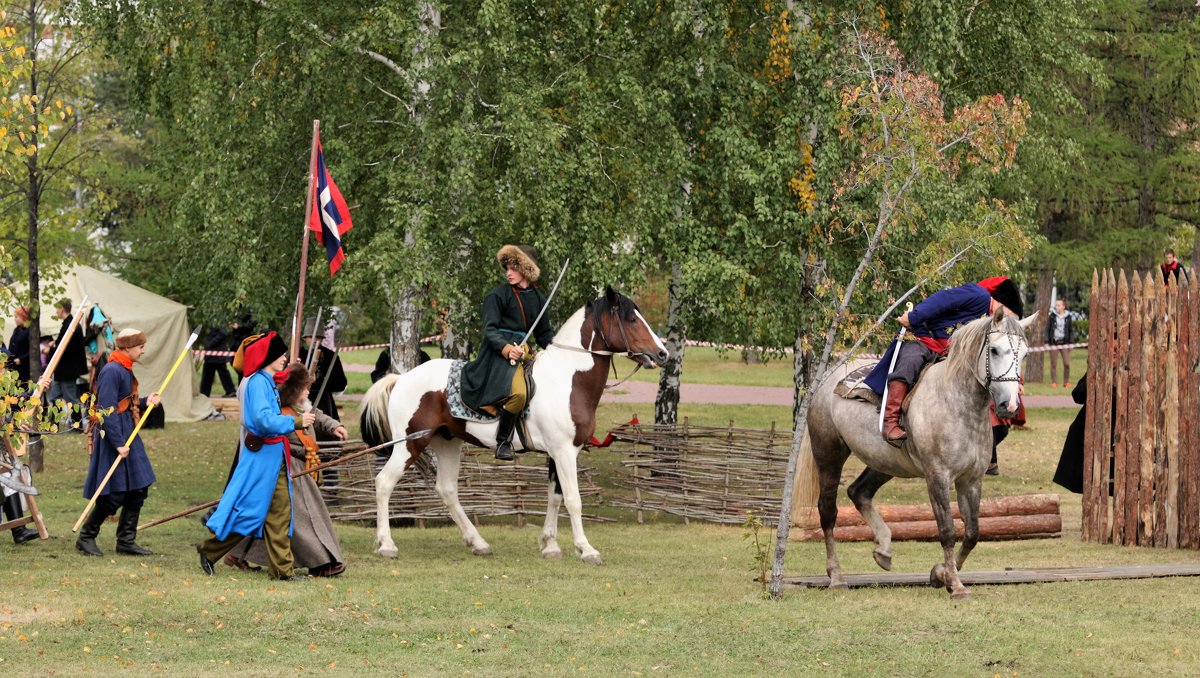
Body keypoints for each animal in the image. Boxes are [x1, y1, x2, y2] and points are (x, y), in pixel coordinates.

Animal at [806, 307, 1032, 597]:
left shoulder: (971, 480)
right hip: (828, 455)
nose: (1009, 405)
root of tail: (826, 381)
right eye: (994, 350)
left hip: (885, 462)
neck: (957, 402)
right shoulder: (938, 477)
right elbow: (947, 530)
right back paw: (836, 576)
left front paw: (941, 574)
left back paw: (884, 549)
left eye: (1024, 354)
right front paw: (956, 585)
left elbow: (972, 532)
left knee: (859, 492)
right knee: (828, 511)